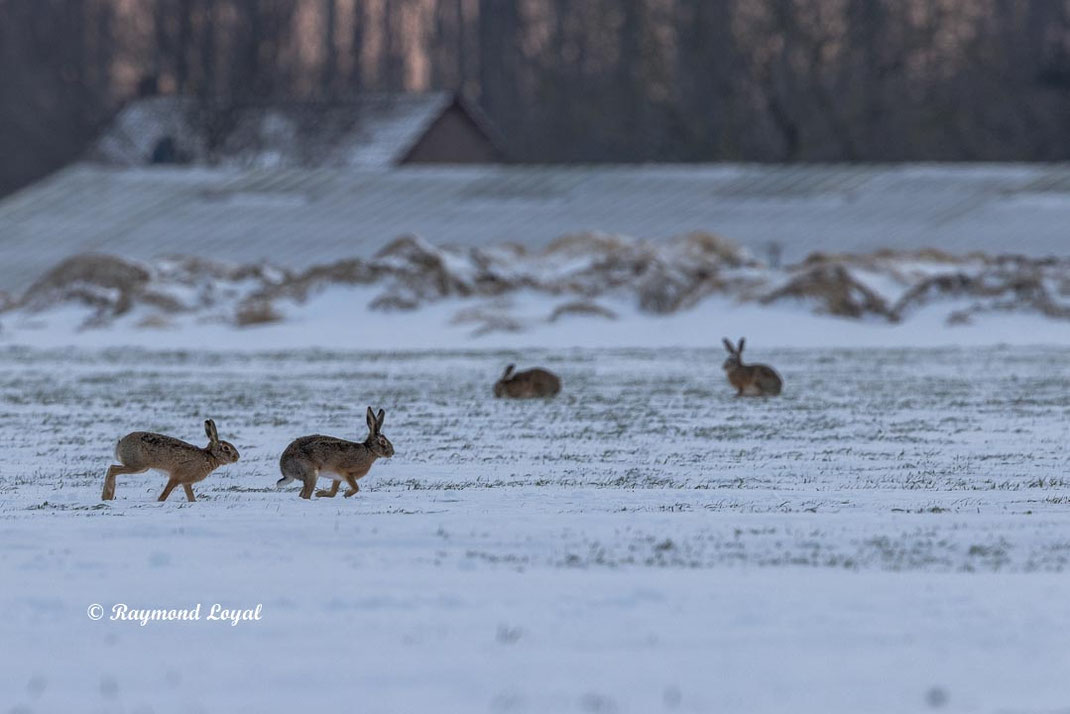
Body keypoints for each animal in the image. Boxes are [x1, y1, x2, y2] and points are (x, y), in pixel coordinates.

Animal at [101, 419, 239, 502]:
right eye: (226, 448)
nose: (237, 457)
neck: (209, 456)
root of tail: (120, 444)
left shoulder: (186, 483)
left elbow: (191, 497)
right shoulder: (176, 477)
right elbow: (166, 493)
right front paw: (159, 501)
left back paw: (107, 498)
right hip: (138, 466)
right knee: (112, 469)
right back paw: (107, 496)